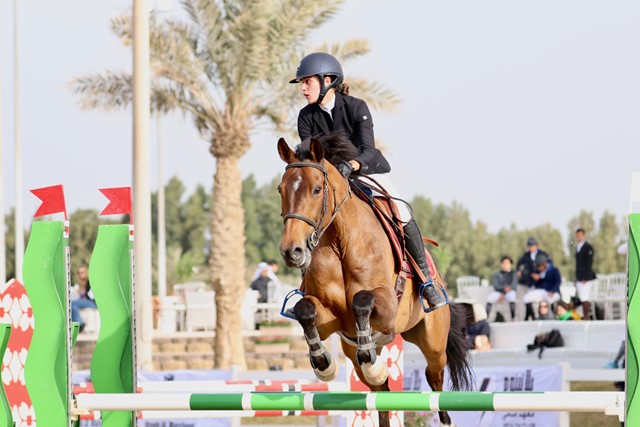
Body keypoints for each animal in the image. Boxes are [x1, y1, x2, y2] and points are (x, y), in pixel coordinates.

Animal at [276, 132, 473, 427]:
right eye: (281, 190)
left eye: (317, 189)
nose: (292, 252)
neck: (339, 241)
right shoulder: (331, 319)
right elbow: (305, 311)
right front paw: (324, 365)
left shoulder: (387, 306)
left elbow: (362, 300)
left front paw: (365, 359)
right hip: (356, 352)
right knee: (381, 393)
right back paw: (374, 368)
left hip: (434, 343)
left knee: (436, 382)